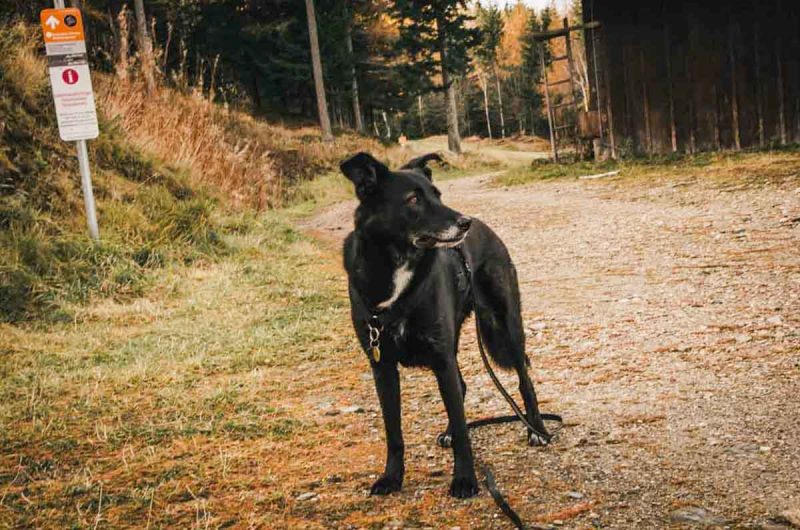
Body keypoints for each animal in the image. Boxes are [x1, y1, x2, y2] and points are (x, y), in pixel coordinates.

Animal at [338, 151, 552, 498]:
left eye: (438, 195)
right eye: (413, 199)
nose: (465, 222)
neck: (399, 265)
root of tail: (486, 228)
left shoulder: (441, 358)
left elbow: (465, 430)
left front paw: (465, 480)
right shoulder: (383, 367)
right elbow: (393, 432)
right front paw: (392, 478)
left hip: (507, 326)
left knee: (524, 380)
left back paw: (537, 429)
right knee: (462, 386)